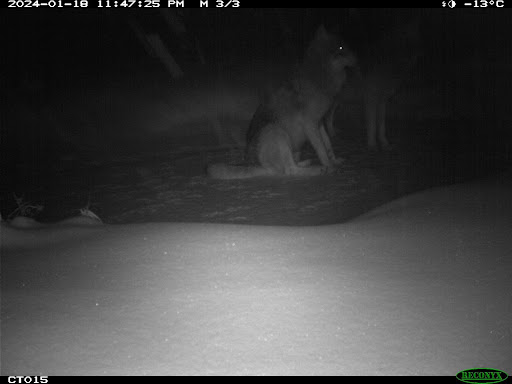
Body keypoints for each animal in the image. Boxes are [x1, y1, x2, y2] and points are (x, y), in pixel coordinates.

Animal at [207, 26, 356, 179]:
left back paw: (307, 163)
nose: (356, 59)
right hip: (277, 132)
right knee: (290, 170)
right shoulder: (310, 124)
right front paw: (330, 167)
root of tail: (258, 165)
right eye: (341, 47)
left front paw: (335, 161)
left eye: (345, 45)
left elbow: (328, 145)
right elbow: (321, 150)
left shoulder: (319, 123)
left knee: (292, 166)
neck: (320, 77)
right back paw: (318, 169)